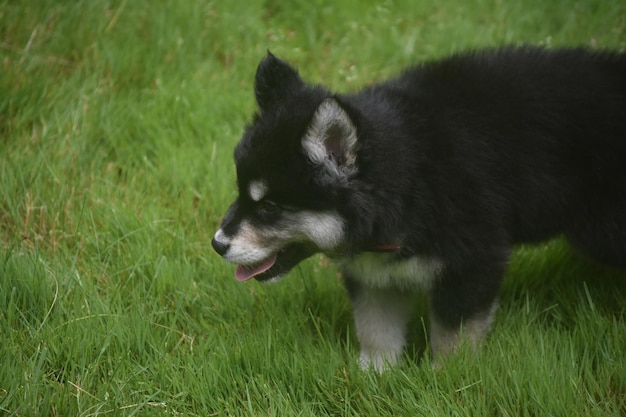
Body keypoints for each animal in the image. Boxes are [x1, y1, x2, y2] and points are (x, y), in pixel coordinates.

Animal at [211, 46, 624, 370]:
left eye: (270, 207)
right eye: (241, 194)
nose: (217, 244)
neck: (409, 181)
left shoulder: (472, 261)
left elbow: (454, 336)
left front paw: (448, 381)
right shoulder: (373, 274)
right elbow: (376, 329)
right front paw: (374, 374)